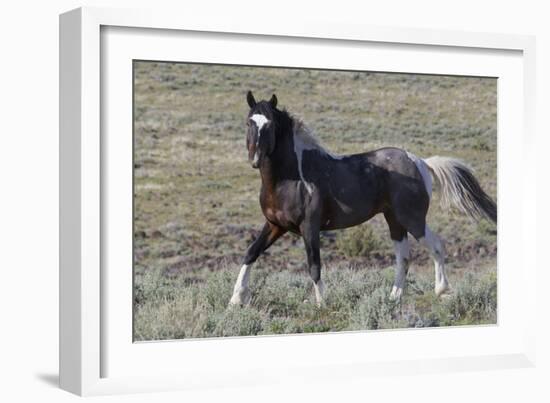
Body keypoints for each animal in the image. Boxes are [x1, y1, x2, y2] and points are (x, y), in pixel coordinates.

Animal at [231, 91, 498, 306]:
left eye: (270, 125)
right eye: (248, 122)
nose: (255, 159)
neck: (290, 178)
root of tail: (420, 162)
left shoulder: (310, 227)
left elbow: (314, 265)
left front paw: (322, 304)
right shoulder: (275, 225)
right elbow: (251, 253)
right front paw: (236, 300)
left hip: (412, 219)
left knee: (436, 246)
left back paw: (441, 291)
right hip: (394, 221)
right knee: (404, 258)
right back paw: (393, 298)